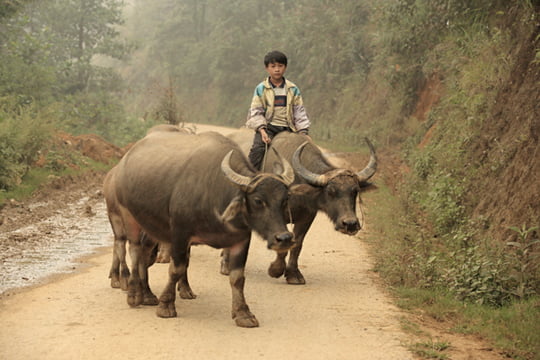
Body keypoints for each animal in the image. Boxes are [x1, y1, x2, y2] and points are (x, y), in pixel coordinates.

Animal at [108, 129, 300, 326]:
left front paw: (243, 313)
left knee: (145, 254)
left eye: (285, 199)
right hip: (128, 215)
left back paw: (147, 294)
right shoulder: (180, 233)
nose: (284, 238)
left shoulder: (241, 239)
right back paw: (134, 294)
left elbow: (237, 277)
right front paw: (166, 306)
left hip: (151, 226)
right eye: (258, 200)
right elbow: (176, 269)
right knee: (134, 250)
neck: (216, 193)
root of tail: (124, 161)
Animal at [224, 129, 376, 284]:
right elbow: (283, 240)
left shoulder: (307, 217)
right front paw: (276, 270)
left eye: (355, 191)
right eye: (330, 192)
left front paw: (293, 274)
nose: (350, 224)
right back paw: (226, 266)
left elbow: (297, 244)